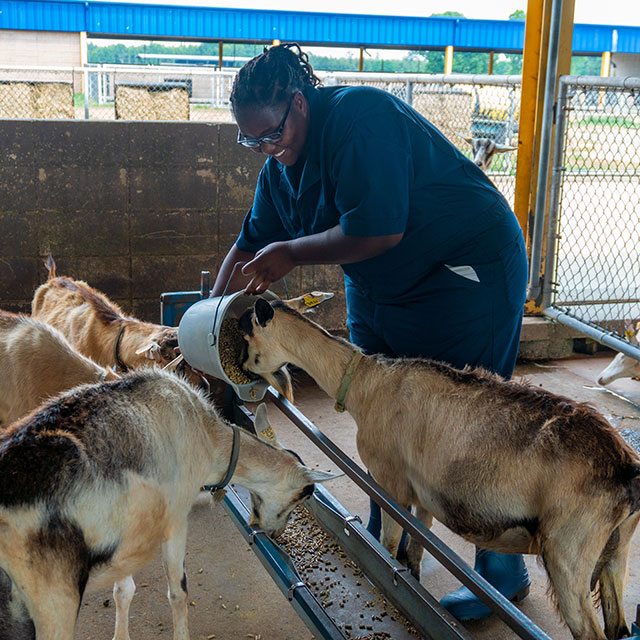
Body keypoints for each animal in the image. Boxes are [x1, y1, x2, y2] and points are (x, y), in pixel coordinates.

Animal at [0, 370, 340, 640]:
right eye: (306, 493)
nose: (274, 532)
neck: (209, 437)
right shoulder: (176, 517)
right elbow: (179, 592)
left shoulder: (127, 536)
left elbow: (124, 591)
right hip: (54, 601)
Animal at [238, 298, 640, 640]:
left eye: (248, 336)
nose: (243, 368)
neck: (367, 384)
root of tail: (626, 470)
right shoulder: (425, 495)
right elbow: (414, 553)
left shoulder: (390, 483)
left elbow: (388, 547)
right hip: (615, 551)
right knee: (619, 625)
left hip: (569, 553)